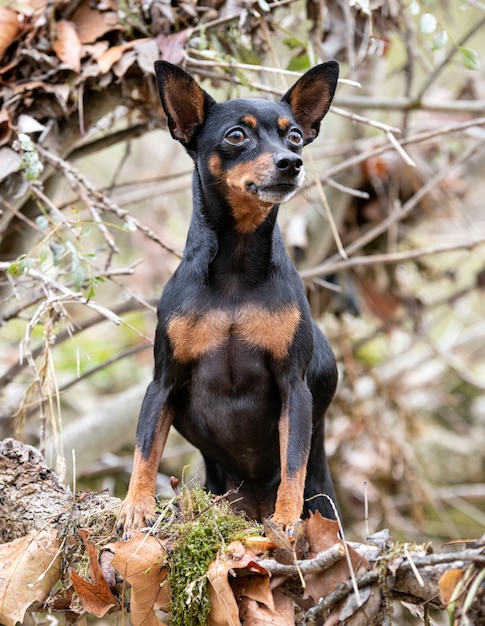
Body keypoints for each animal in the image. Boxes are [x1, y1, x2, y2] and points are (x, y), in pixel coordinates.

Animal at [117, 59, 338, 536]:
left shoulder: (294, 386)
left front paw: (286, 520)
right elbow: (145, 448)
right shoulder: (162, 382)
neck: (236, 270)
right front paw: (136, 506)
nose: (291, 163)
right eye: (236, 136)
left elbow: (293, 461)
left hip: (326, 503)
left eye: (295, 135)